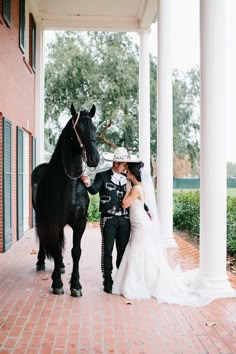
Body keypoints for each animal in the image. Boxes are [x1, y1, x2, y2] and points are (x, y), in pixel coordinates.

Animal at [32, 103, 99, 298]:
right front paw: (57, 283)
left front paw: (75, 285)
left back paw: (61, 265)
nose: (94, 158)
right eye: (78, 129)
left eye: (94, 128)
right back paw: (41, 262)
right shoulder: (54, 222)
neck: (70, 184)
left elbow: (75, 251)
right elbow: (54, 249)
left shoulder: (80, 223)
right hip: (41, 217)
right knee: (43, 237)